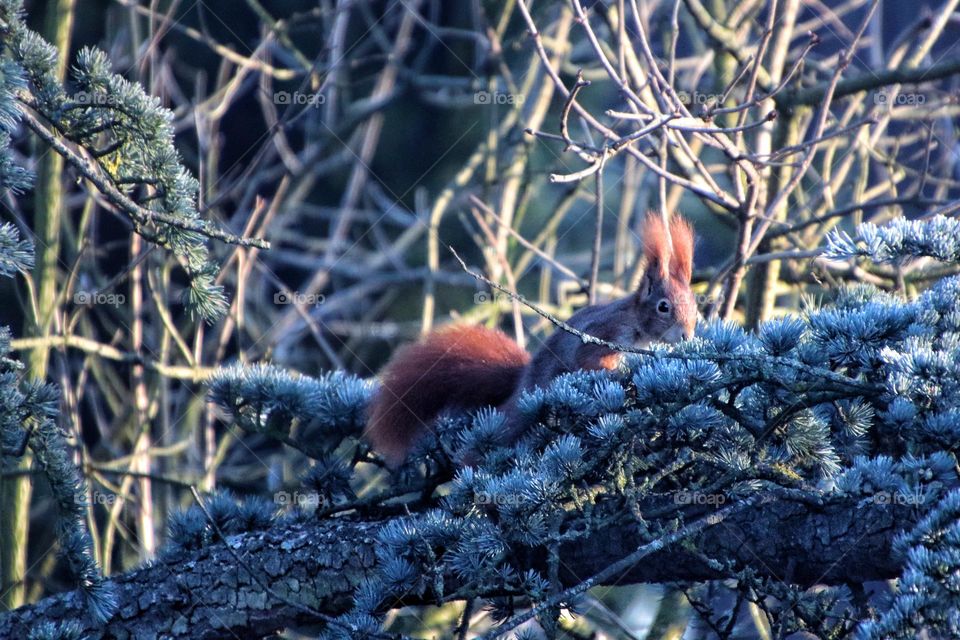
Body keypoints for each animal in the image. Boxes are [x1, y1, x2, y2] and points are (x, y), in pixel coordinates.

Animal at [368, 212, 696, 468]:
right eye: (663, 307)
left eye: (694, 304)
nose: (687, 334)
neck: (640, 333)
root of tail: (523, 379)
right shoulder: (605, 332)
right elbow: (588, 359)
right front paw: (618, 373)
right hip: (524, 410)